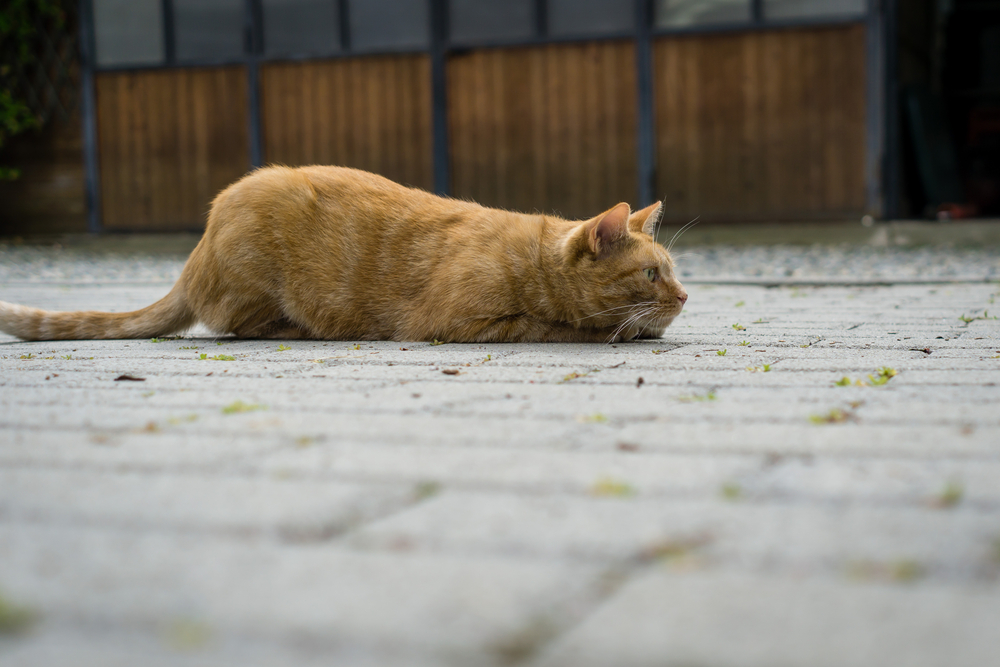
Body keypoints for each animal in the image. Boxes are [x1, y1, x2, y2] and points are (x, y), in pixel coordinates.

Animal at [0, 166, 688, 344]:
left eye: (676, 274)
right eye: (651, 273)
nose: (685, 297)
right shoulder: (459, 322)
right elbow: (550, 326)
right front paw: (618, 330)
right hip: (257, 281)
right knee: (234, 325)